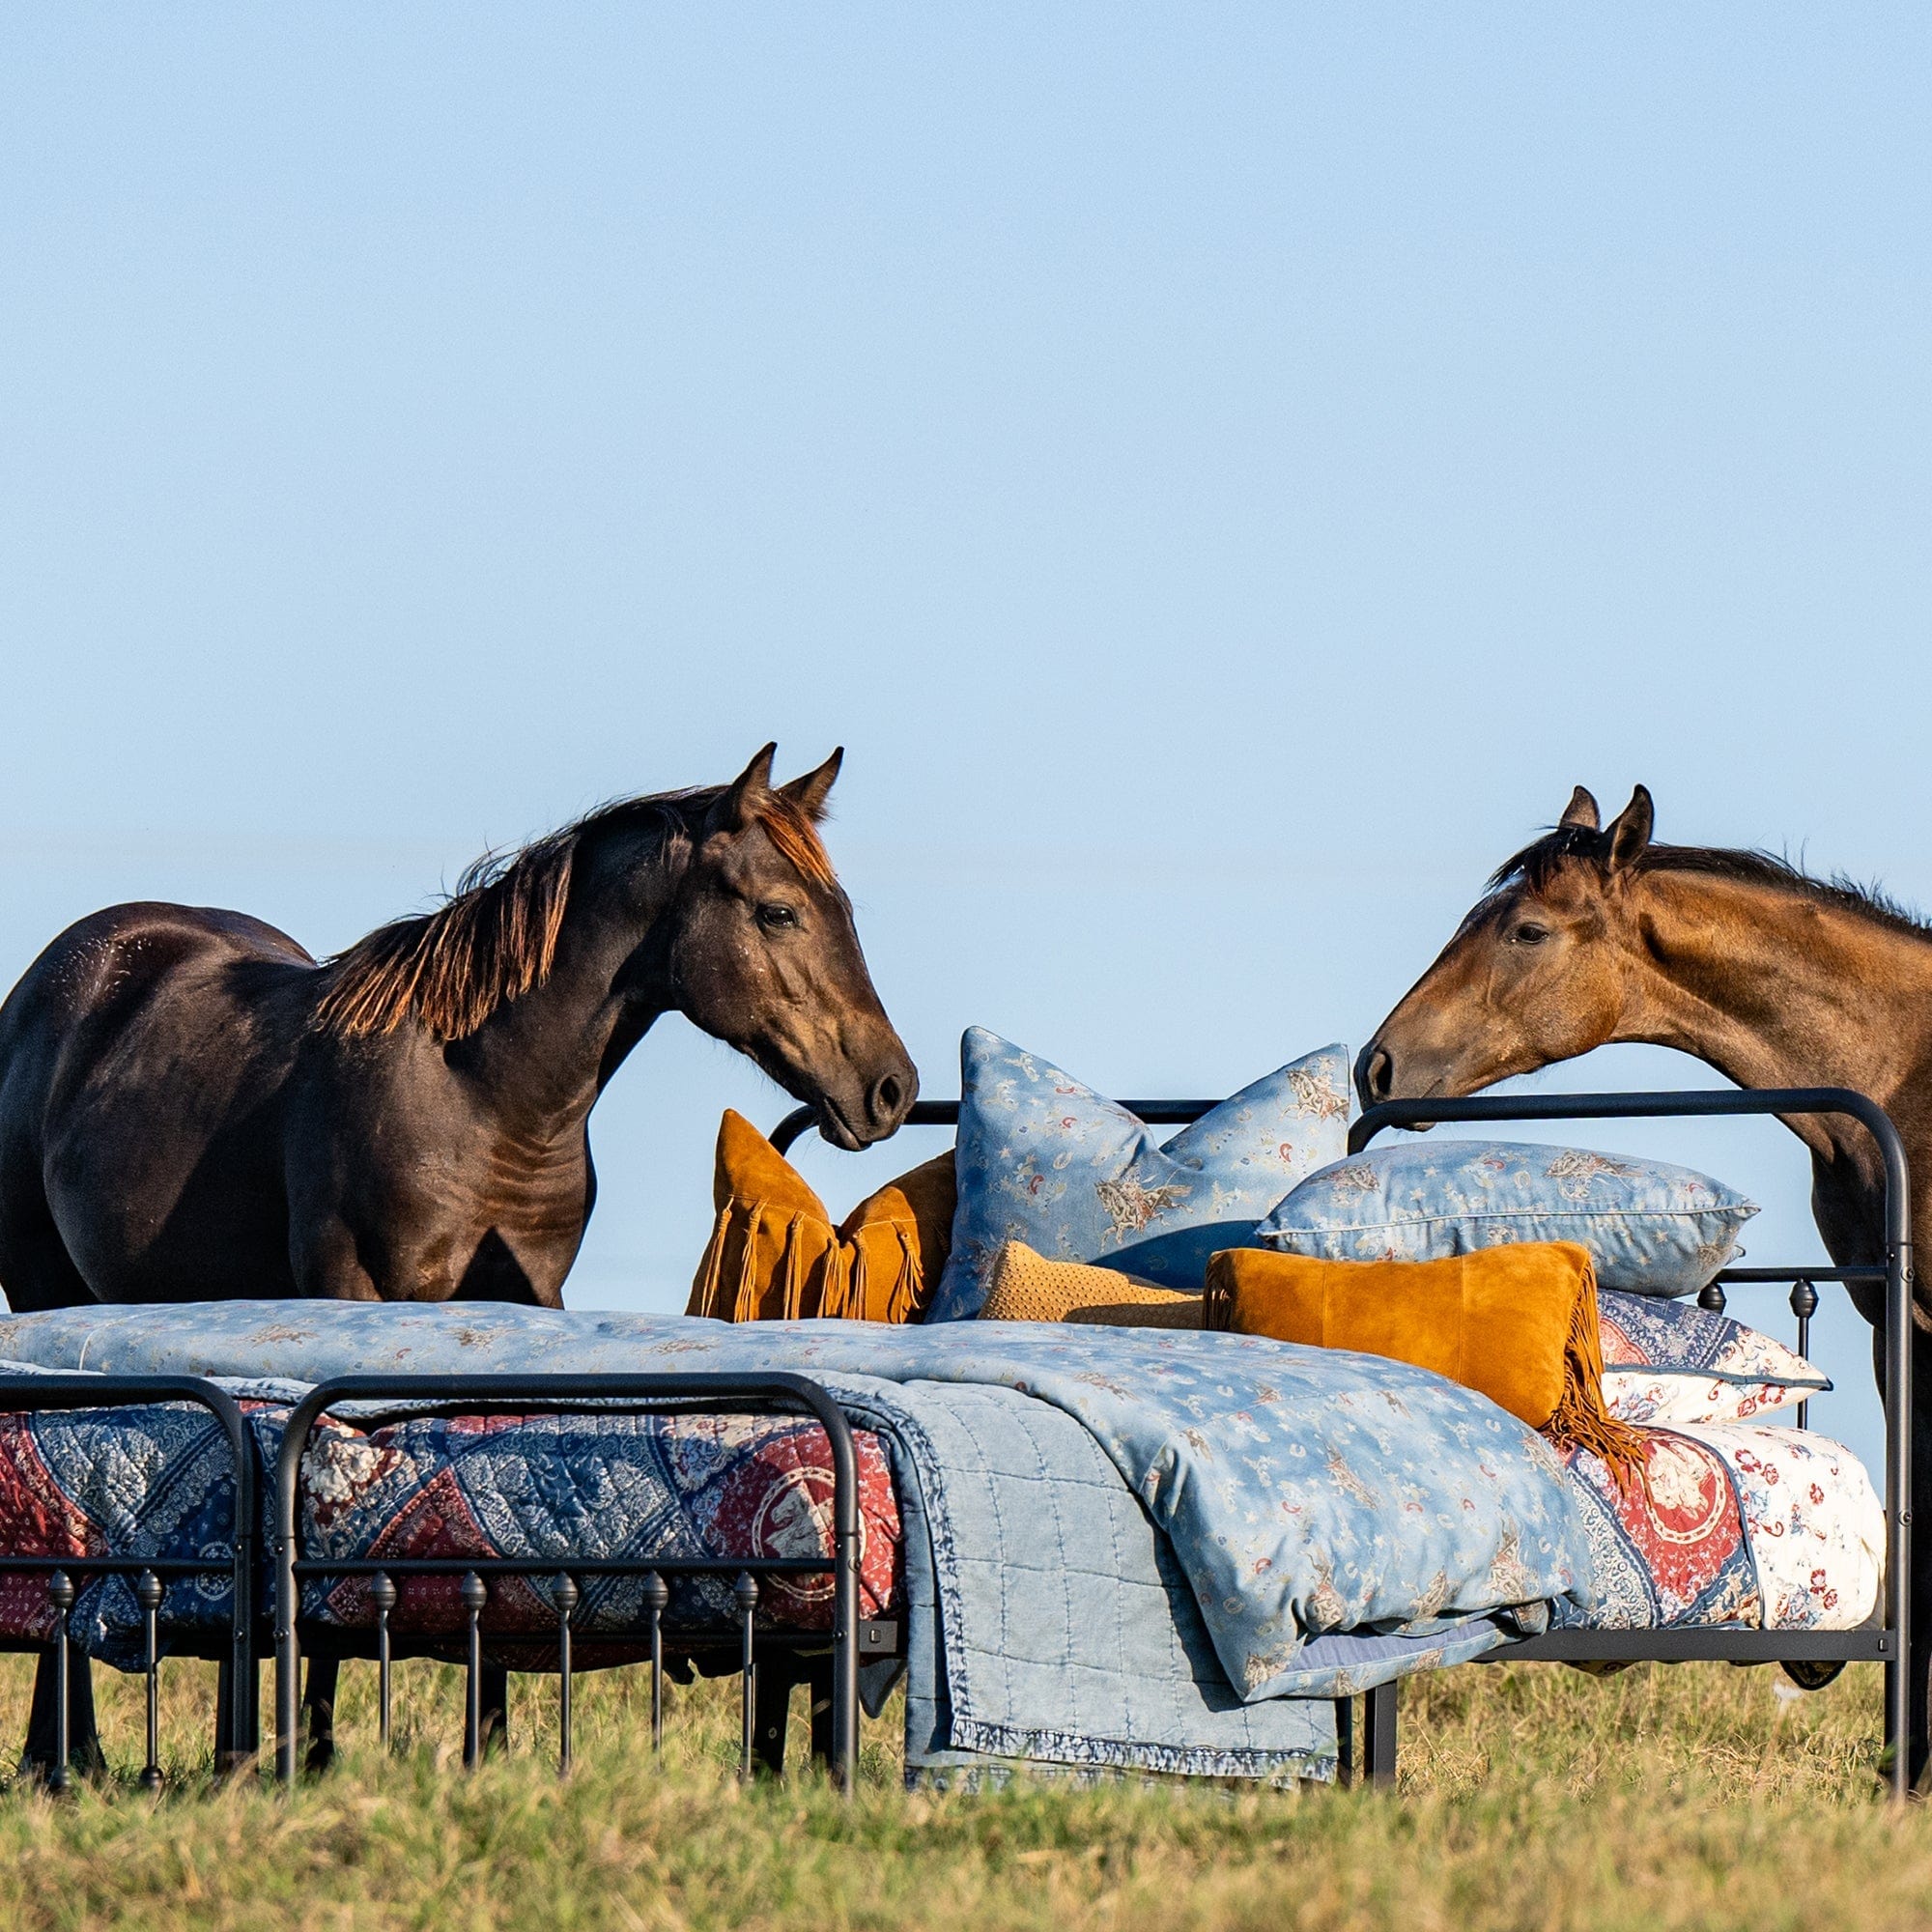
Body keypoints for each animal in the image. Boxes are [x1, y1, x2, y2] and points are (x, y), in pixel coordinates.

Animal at [0, 742, 920, 1777]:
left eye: (840, 910)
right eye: (777, 911)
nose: (891, 1087)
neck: (478, 1094)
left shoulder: (524, 1305)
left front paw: (490, 1742)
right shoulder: (354, 1294)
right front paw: (314, 1752)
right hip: (42, 1290)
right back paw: (62, 1758)